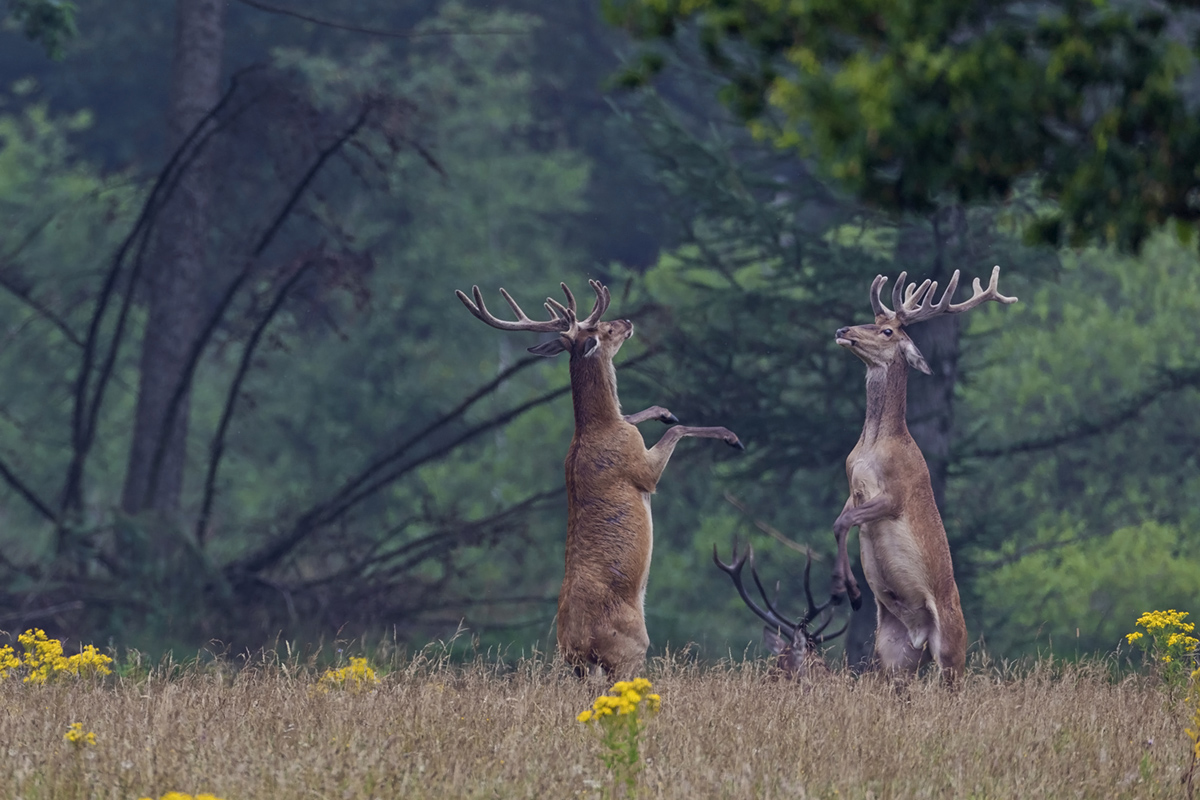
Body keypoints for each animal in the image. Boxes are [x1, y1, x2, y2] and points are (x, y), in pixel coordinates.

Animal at [456, 278, 744, 681]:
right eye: (605, 328)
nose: (626, 321)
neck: (597, 427)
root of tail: (579, 645)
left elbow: (640, 415)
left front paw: (666, 412)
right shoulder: (640, 468)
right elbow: (675, 434)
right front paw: (731, 436)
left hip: (581, 667)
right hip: (630, 649)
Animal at [830, 267, 1017, 681]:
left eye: (887, 331)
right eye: (873, 319)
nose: (843, 329)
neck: (872, 447)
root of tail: (921, 637)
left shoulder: (895, 494)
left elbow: (844, 522)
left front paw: (849, 592)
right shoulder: (852, 489)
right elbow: (839, 521)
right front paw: (846, 591)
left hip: (951, 647)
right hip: (893, 652)